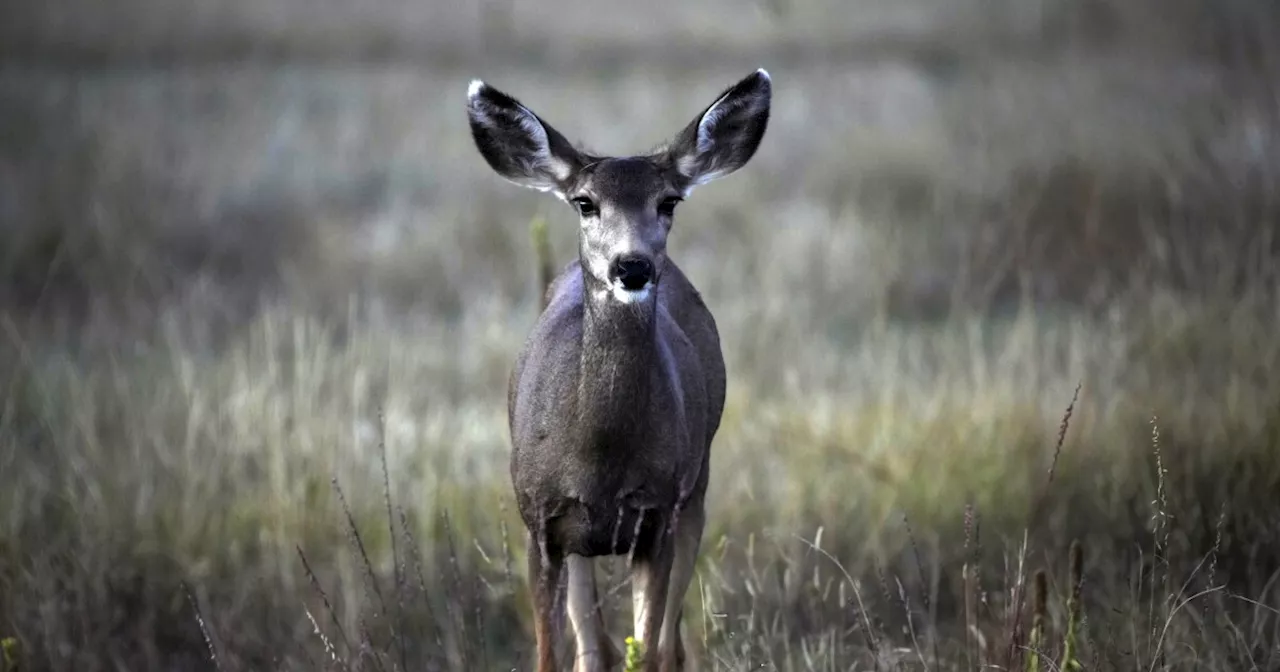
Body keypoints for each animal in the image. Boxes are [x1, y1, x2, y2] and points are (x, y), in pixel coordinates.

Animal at [468, 69, 773, 670]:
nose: (632, 265)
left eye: (669, 200)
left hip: (697, 485)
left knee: (670, 643)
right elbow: (555, 653)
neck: (600, 459)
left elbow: (650, 649)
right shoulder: (540, 520)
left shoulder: (656, 514)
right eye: (585, 203)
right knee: (593, 643)